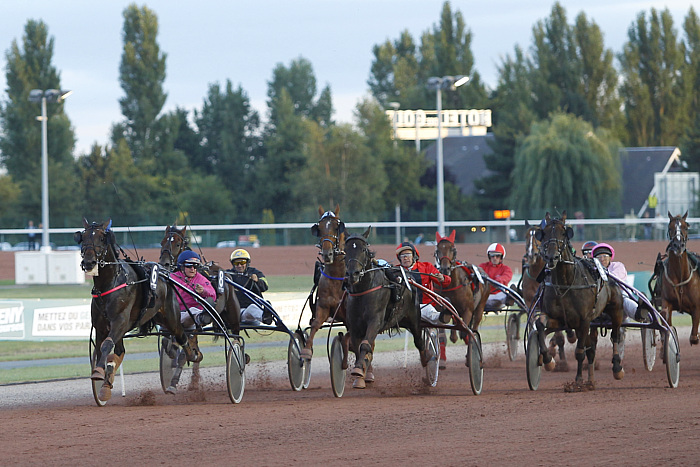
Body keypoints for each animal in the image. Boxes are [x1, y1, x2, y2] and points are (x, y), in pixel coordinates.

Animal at [76, 219, 200, 402]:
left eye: (101, 238)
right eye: (83, 237)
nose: (89, 262)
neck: (110, 283)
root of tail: (165, 275)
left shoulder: (120, 321)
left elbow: (106, 345)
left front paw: (99, 372)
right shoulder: (101, 326)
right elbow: (101, 348)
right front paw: (103, 380)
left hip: (170, 317)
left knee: (181, 335)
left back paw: (192, 354)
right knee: (120, 350)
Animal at [302, 205, 346, 362]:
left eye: (336, 227)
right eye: (319, 228)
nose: (327, 254)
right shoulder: (323, 306)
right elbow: (315, 324)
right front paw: (306, 350)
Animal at [532, 213, 628, 388]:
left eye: (564, 233)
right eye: (544, 233)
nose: (551, 257)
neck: (565, 283)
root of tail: (606, 272)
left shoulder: (584, 321)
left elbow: (579, 352)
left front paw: (578, 381)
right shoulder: (559, 318)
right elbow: (540, 325)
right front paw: (548, 360)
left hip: (616, 310)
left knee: (615, 336)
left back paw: (617, 367)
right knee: (591, 347)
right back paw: (591, 379)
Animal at [656, 212, 700, 348]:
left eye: (686, 227)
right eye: (670, 228)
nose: (678, 245)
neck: (681, 276)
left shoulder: (696, 306)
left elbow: (693, 337)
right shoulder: (666, 301)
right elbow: (665, 319)